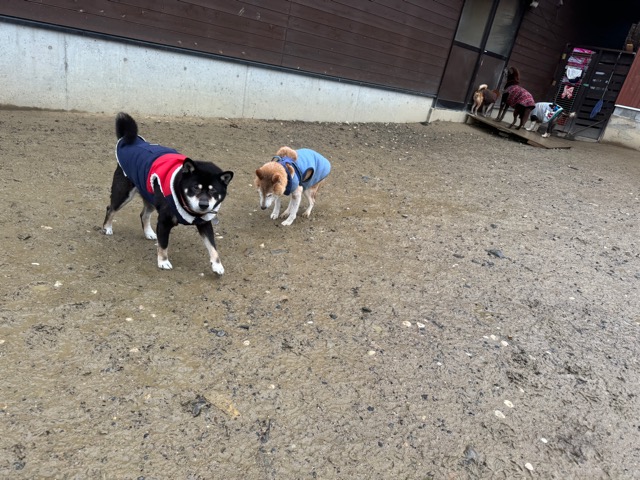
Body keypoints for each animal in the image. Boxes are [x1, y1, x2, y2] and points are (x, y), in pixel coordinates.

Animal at [102, 112, 234, 274]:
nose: (204, 204)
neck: (190, 210)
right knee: (111, 208)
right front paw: (163, 261)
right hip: (123, 194)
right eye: (195, 187)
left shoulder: (204, 224)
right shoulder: (164, 222)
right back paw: (107, 227)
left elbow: (213, 247)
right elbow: (163, 245)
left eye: (213, 190)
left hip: (150, 197)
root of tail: (130, 140)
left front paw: (217, 265)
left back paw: (148, 232)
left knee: (143, 215)